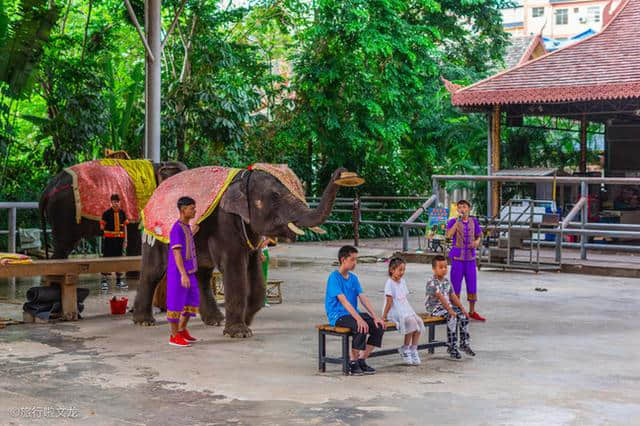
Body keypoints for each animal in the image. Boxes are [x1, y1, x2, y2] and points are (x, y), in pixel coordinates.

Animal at [132, 165, 348, 338]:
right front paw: (239, 333)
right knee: (153, 271)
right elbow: (235, 270)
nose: (341, 171)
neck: (243, 177)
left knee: (202, 274)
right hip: (155, 234)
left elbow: (256, 276)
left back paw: (215, 320)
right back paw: (144, 321)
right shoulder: (226, 222)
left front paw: (247, 320)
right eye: (275, 196)